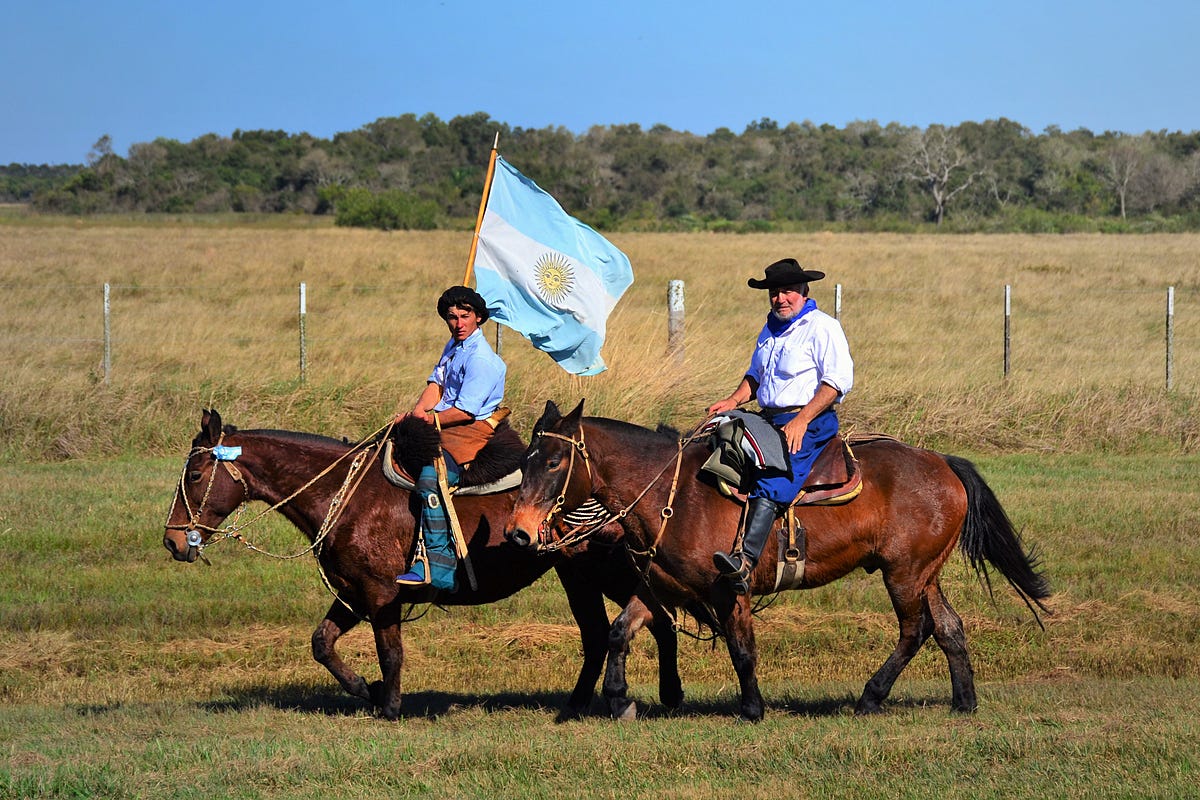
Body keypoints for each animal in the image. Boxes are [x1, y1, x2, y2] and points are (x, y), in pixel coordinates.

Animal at [162, 410, 686, 724]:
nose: (172, 540)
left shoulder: (380, 595)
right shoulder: (352, 592)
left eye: (196, 473)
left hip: (606, 572)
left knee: (645, 620)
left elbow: (390, 652)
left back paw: (635, 696)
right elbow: (322, 644)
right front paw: (366, 689)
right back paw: (598, 702)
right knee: (610, 631)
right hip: (579, 576)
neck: (345, 494)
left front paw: (389, 705)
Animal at [506, 402, 1051, 724]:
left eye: (552, 463)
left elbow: (742, 649)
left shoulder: (730, 589)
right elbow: (621, 631)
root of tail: (942, 463)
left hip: (904, 574)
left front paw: (752, 708)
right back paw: (964, 702)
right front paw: (620, 699)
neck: (673, 495)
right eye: (525, 460)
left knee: (915, 630)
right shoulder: (661, 586)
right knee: (949, 628)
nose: (518, 531)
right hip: (924, 574)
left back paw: (870, 697)